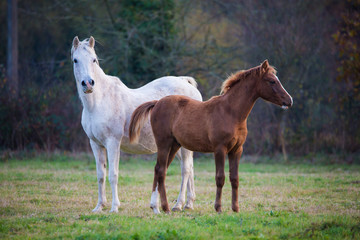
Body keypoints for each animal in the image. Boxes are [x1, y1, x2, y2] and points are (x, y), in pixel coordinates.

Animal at [70, 36, 202, 213]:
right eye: (75, 60)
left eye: (94, 60)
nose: (88, 83)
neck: (99, 102)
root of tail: (186, 84)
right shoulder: (95, 144)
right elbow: (101, 176)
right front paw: (99, 206)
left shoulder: (113, 142)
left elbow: (113, 175)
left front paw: (114, 207)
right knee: (190, 168)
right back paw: (188, 203)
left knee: (185, 169)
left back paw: (178, 204)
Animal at [129, 60, 292, 214]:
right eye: (272, 81)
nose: (289, 101)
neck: (230, 112)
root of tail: (157, 103)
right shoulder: (220, 149)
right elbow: (220, 178)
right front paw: (218, 208)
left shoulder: (237, 150)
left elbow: (235, 178)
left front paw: (235, 208)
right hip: (164, 144)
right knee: (161, 171)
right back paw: (166, 208)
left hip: (174, 146)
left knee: (159, 170)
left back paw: (159, 207)